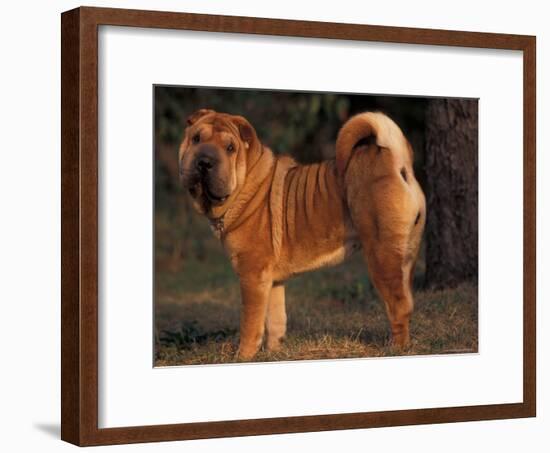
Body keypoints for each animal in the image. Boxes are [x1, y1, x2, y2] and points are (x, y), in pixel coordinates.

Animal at [178, 108, 426, 356]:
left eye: (230, 148)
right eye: (196, 139)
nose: (204, 162)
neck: (245, 186)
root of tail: (396, 160)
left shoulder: (252, 276)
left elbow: (250, 323)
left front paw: (243, 357)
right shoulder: (272, 281)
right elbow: (275, 320)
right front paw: (273, 353)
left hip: (381, 255)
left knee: (398, 305)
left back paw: (396, 348)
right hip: (407, 255)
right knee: (409, 300)